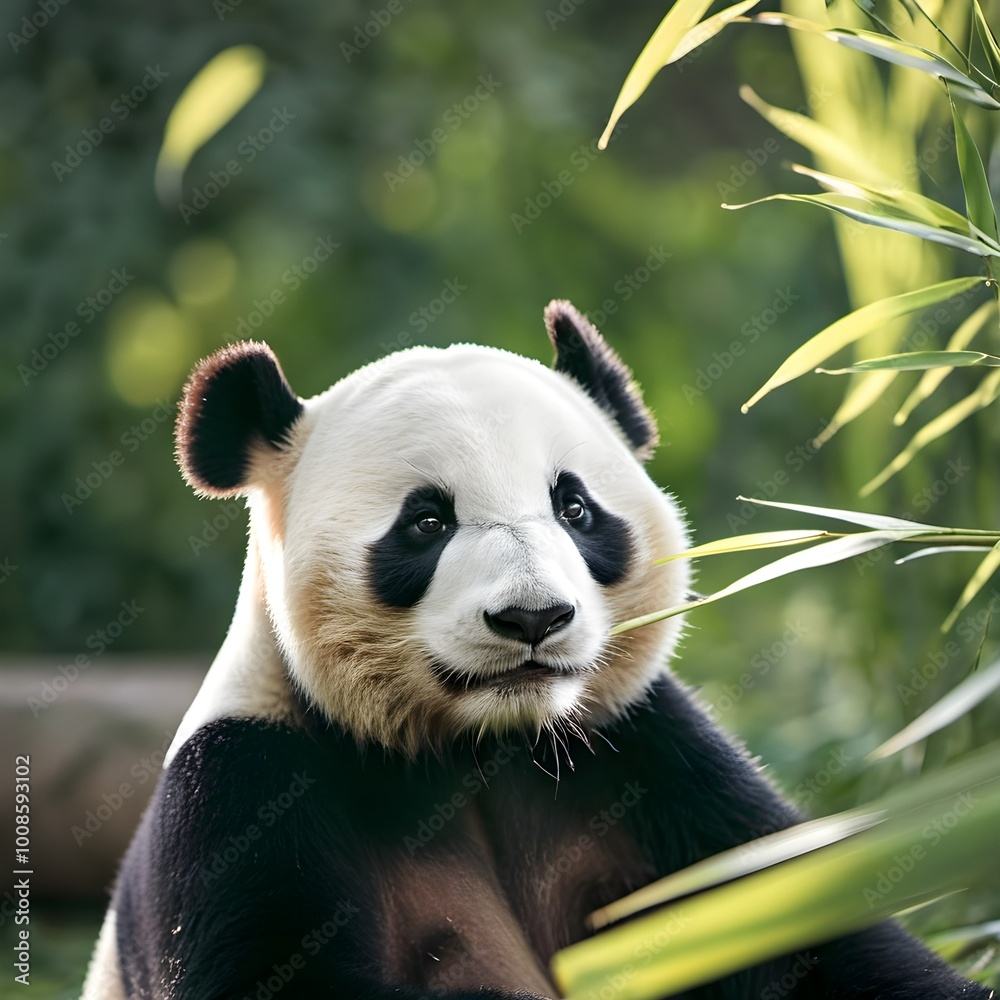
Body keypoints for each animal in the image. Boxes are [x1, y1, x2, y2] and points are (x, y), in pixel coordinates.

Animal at [82, 300, 990, 999]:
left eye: (575, 508)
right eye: (427, 521)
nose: (533, 619)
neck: (483, 745)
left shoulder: (646, 754)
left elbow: (798, 931)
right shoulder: (247, 786)